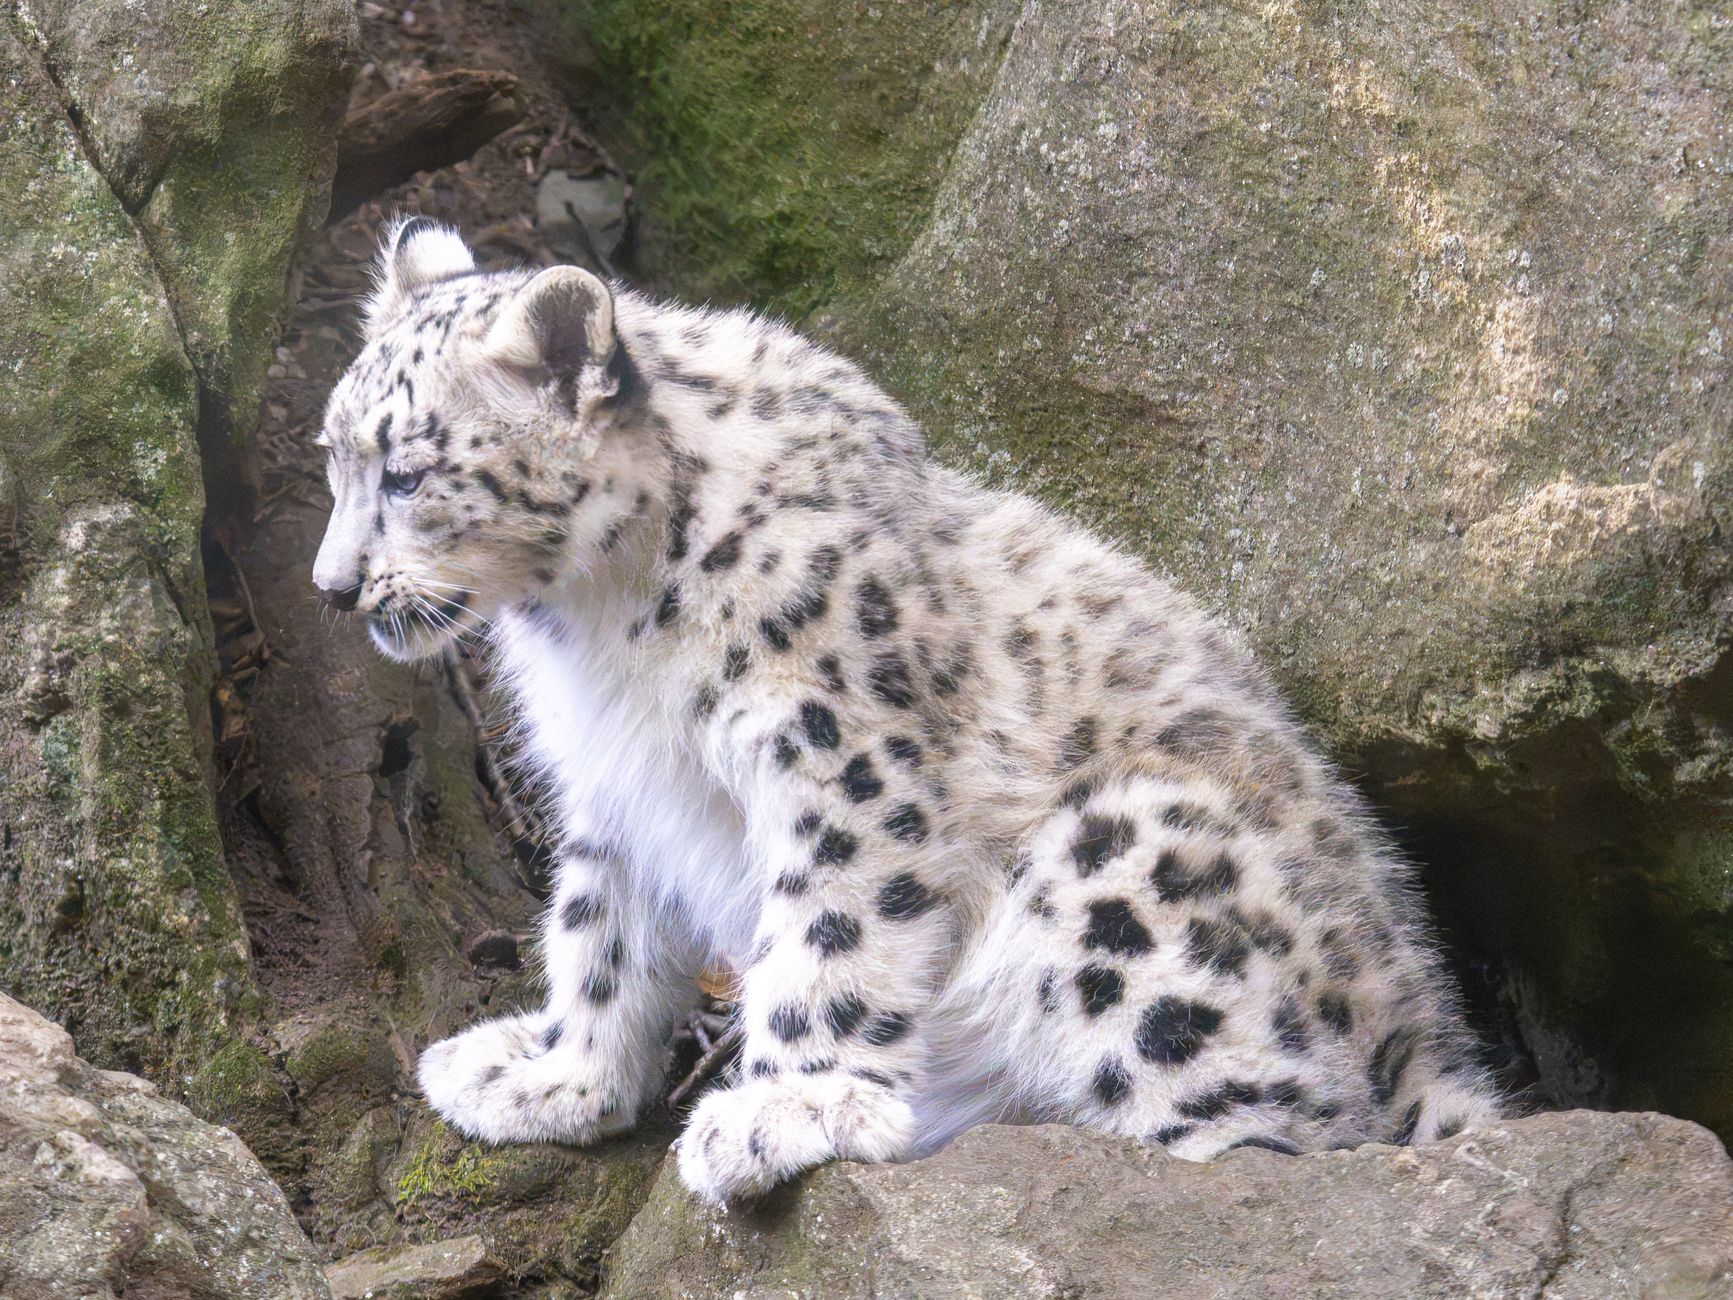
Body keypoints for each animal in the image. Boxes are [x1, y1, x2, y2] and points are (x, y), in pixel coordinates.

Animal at [312, 217, 1502, 1203]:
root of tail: (1431, 1034)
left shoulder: (835, 747)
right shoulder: (620, 780)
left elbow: (833, 921)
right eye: (333, 454)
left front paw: (788, 1106)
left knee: (1295, 1132)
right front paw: (558, 1074)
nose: (331, 588)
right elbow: (598, 929)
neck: (601, 625)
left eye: (408, 473)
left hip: (1124, 858)